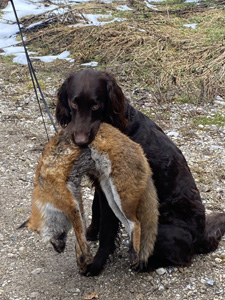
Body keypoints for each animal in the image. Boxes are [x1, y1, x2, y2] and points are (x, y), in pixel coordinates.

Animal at [55, 69, 225, 276]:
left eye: (96, 104)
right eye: (74, 103)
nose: (80, 141)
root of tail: (201, 238)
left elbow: (107, 232)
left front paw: (96, 265)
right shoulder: (101, 184)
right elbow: (96, 209)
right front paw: (91, 232)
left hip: (157, 225)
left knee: (181, 258)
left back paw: (141, 263)